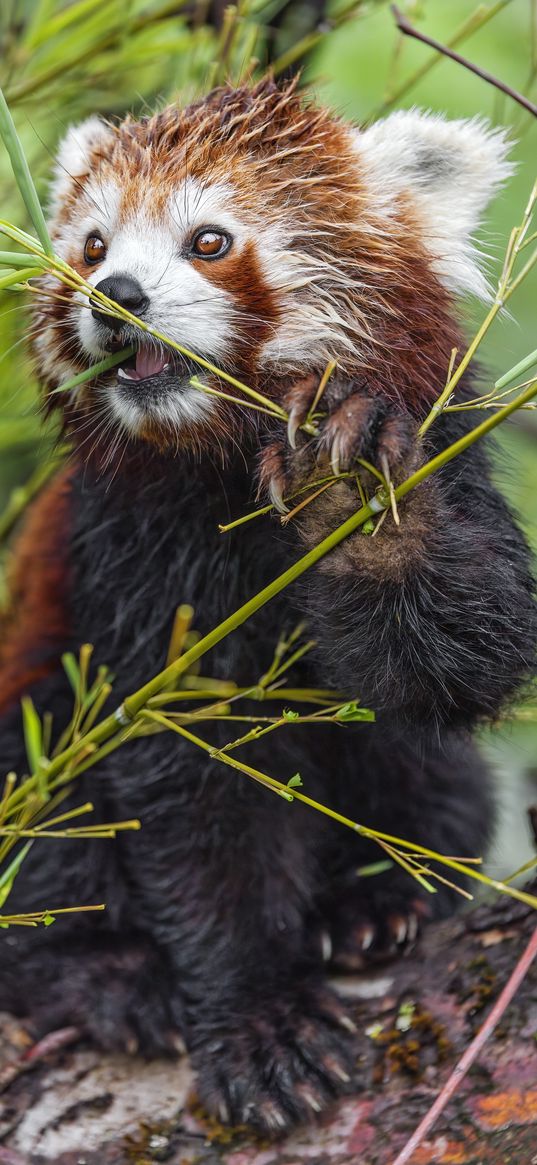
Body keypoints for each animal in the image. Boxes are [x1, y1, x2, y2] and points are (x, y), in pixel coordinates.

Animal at [0, 77, 533, 1132]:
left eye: (208, 240)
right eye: (92, 244)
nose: (115, 297)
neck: (222, 470)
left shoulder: (449, 451)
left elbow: (466, 653)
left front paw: (353, 492)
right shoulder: (130, 556)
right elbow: (195, 792)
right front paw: (258, 1014)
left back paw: (373, 904)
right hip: (31, 704)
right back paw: (108, 973)